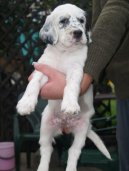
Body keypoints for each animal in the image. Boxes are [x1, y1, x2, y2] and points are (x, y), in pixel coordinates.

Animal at [16, 3, 111, 171]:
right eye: (63, 21)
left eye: (81, 20)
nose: (78, 33)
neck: (64, 52)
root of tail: (65, 126)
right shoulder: (42, 69)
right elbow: (32, 84)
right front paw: (26, 104)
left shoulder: (76, 70)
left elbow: (71, 86)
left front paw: (70, 104)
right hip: (45, 126)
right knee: (46, 149)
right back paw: (42, 168)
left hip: (82, 130)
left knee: (73, 152)